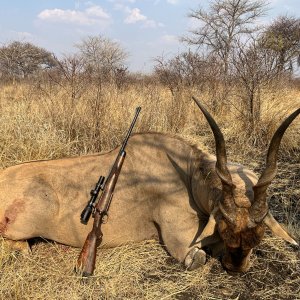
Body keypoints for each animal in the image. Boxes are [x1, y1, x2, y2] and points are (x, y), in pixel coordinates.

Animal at [0, 97, 298, 274]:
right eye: (225, 229)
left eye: (258, 237)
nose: (235, 268)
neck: (187, 173)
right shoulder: (183, 243)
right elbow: (197, 257)